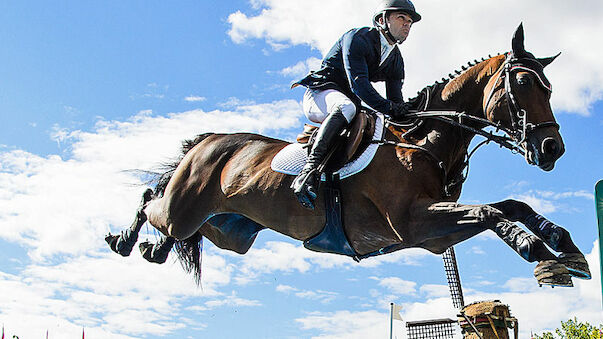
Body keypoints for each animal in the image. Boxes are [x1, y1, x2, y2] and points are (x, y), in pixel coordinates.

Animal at [106, 23, 592, 288]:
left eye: (550, 87)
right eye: (524, 83)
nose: (552, 148)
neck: (424, 141)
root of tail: (209, 139)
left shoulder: (435, 233)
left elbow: (511, 205)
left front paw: (568, 249)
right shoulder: (417, 224)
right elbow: (492, 212)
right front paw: (537, 251)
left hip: (228, 231)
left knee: (168, 225)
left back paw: (151, 249)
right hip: (185, 208)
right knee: (152, 200)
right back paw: (124, 240)